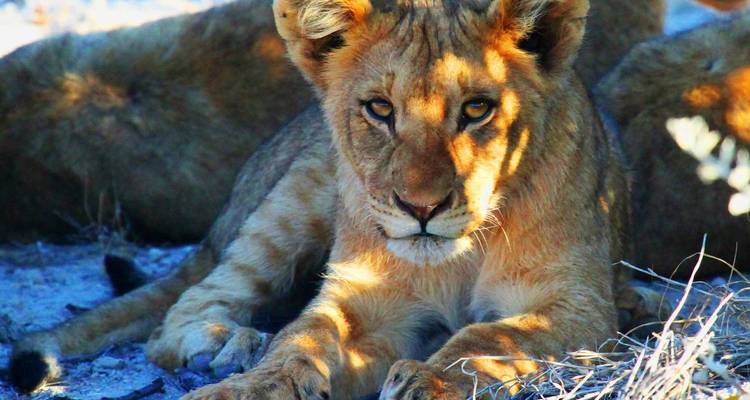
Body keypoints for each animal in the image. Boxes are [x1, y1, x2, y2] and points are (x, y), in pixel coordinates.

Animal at [9, 0, 668, 398]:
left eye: (477, 109)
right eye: (379, 109)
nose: (420, 208)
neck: (457, 259)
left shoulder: (576, 307)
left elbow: (492, 337)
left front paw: (427, 382)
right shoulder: (360, 300)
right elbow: (301, 339)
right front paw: (249, 385)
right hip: (294, 198)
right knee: (185, 310)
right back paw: (227, 344)